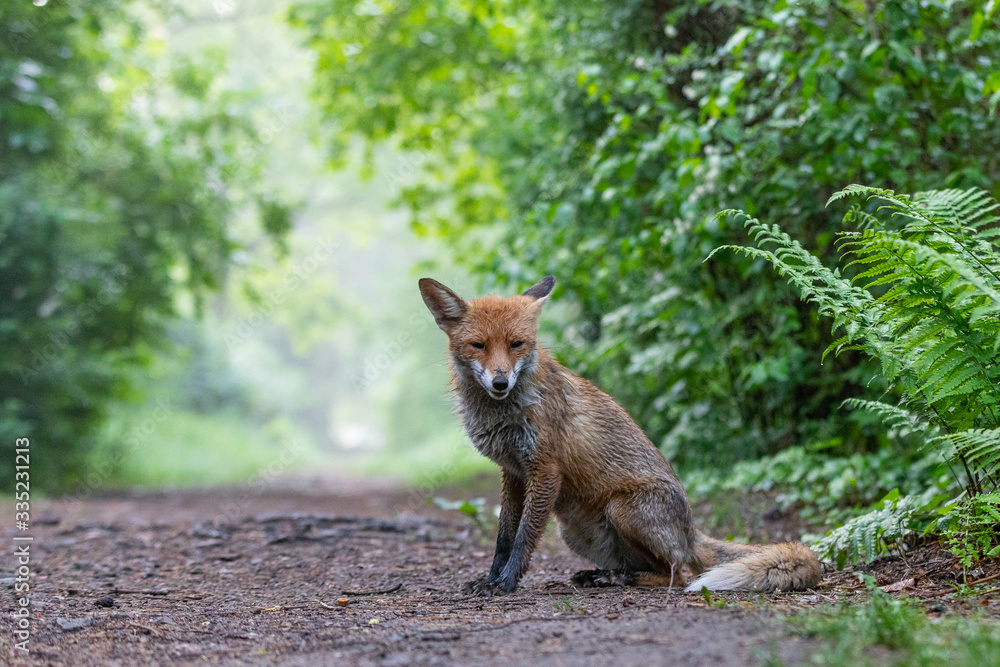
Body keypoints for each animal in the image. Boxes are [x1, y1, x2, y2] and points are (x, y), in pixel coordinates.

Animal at [418, 275, 822, 595]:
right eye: (479, 346)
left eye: (517, 344)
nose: (500, 382)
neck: (502, 415)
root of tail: (691, 531)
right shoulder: (513, 472)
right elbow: (503, 537)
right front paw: (490, 579)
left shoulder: (545, 470)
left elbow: (523, 539)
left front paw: (506, 583)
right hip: (573, 531)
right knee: (649, 566)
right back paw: (604, 575)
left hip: (622, 510)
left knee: (678, 573)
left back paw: (623, 580)